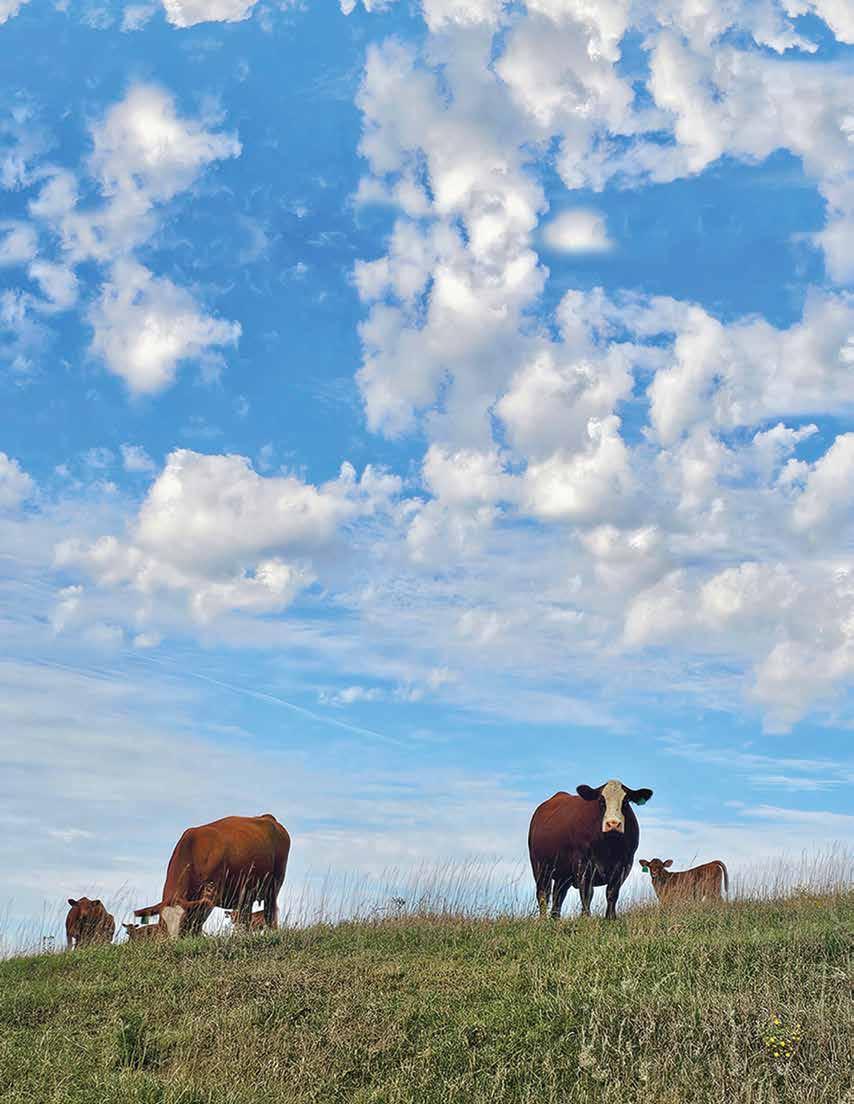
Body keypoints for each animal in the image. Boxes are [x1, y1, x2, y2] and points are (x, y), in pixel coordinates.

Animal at [134, 813, 291, 940]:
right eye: (162, 923)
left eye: (183, 922)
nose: (173, 941)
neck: (191, 850)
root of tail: (268, 817)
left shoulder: (211, 894)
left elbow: (198, 923)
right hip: (247, 893)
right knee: (245, 917)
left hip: (274, 885)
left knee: (270, 914)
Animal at [528, 779, 653, 920]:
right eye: (601, 801)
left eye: (625, 802)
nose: (613, 824)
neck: (609, 846)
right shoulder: (582, 863)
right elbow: (587, 893)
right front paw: (586, 917)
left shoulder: (624, 864)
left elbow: (612, 892)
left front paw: (610, 918)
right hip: (540, 867)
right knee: (543, 894)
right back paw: (543, 919)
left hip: (563, 874)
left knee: (558, 896)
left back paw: (555, 919)